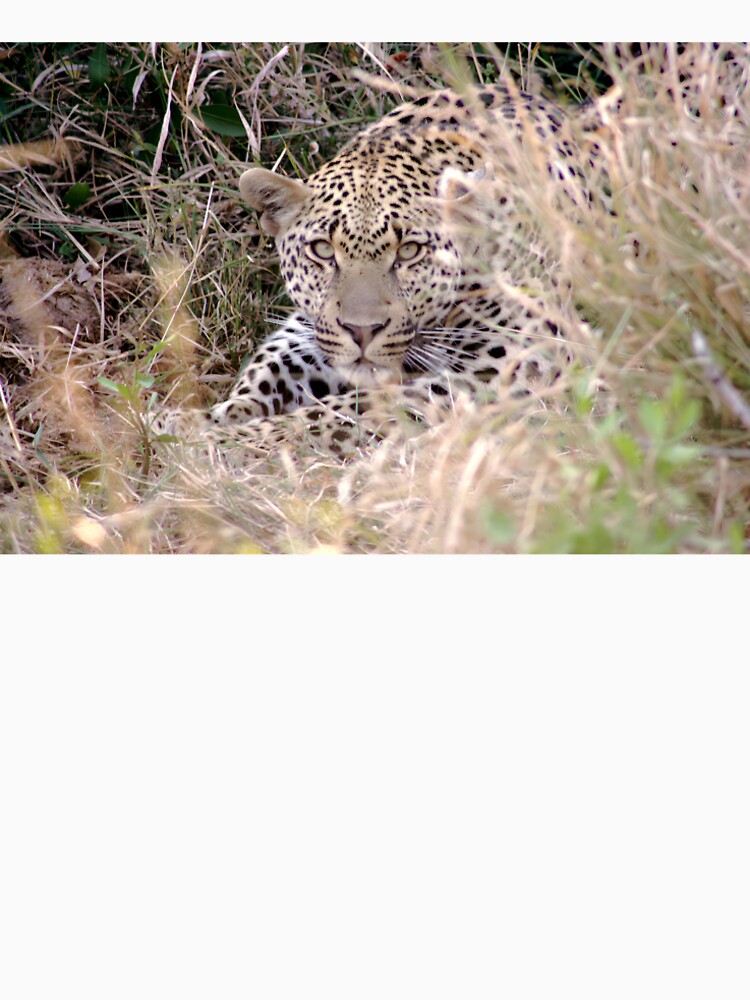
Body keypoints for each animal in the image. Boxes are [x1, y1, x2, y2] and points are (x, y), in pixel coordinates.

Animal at [152, 82, 595, 458]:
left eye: (410, 252)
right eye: (322, 251)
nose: (362, 331)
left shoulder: (505, 363)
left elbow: (339, 413)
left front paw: (222, 441)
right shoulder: (310, 327)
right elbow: (273, 366)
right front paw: (197, 418)